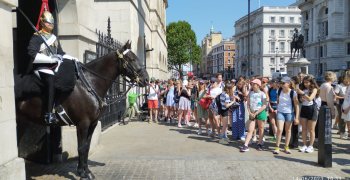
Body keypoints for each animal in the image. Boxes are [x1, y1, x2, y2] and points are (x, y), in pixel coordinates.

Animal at [16, 40, 149, 179]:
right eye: (132, 59)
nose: (146, 79)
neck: (89, 85)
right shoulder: (82, 124)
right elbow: (81, 147)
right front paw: (82, 173)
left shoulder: (93, 123)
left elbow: (87, 147)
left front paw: (87, 171)